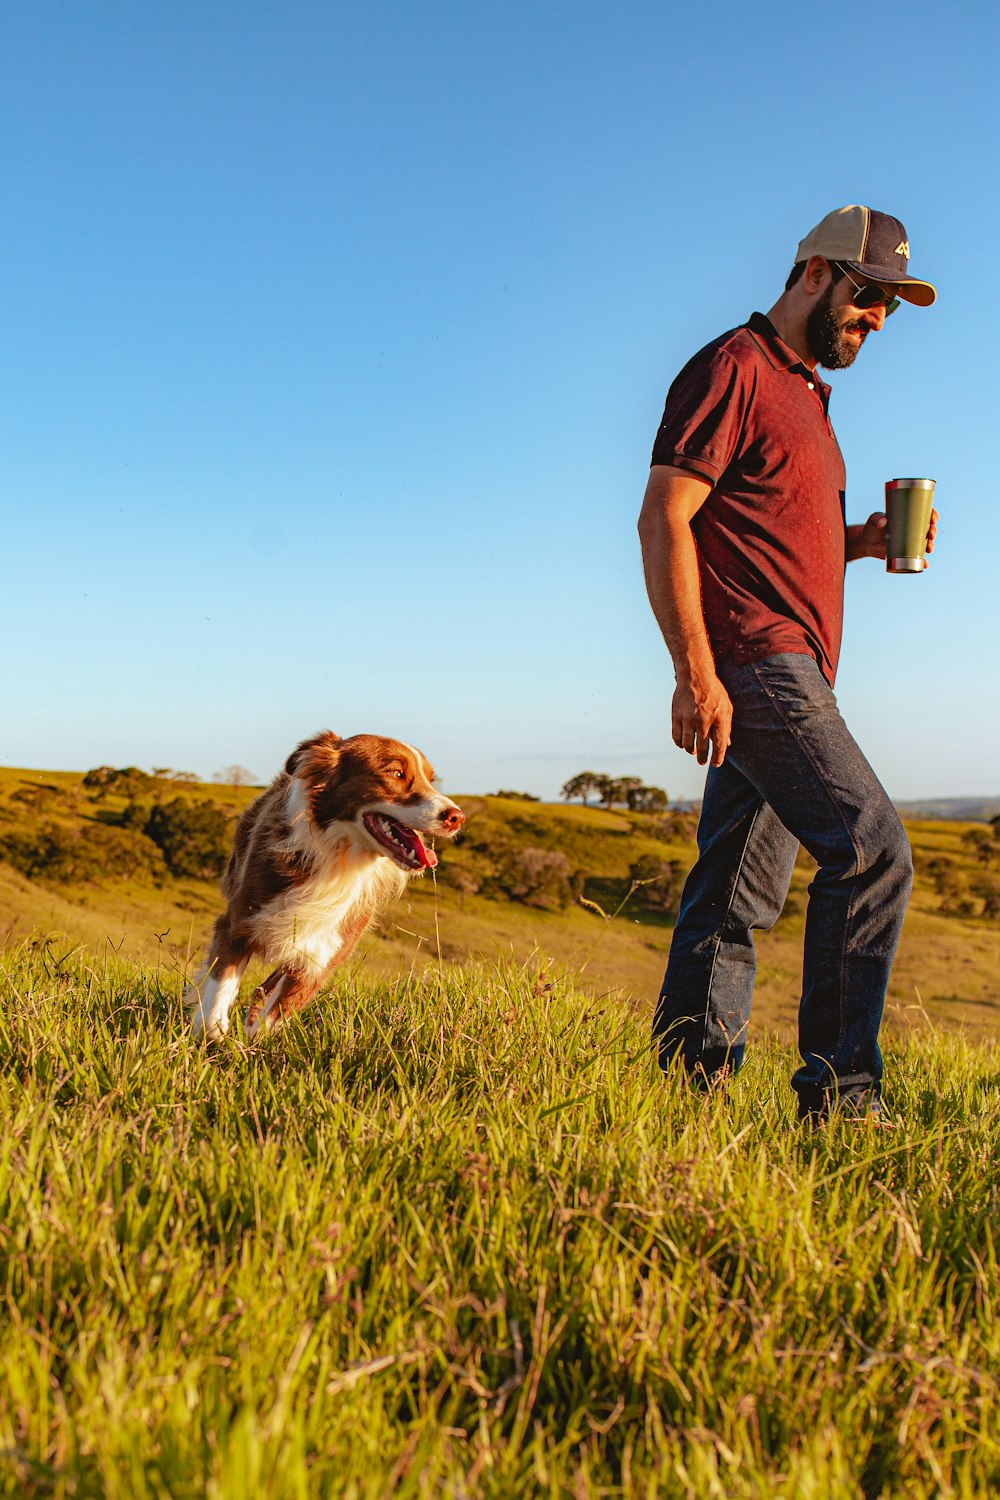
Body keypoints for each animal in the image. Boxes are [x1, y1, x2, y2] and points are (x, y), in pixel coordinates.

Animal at [183, 729, 464, 1044]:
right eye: (395, 773)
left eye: (431, 779)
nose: (456, 817)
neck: (339, 860)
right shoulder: (237, 924)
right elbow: (217, 994)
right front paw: (213, 1037)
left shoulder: (322, 955)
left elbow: (271, 1019)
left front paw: (251, 1043)